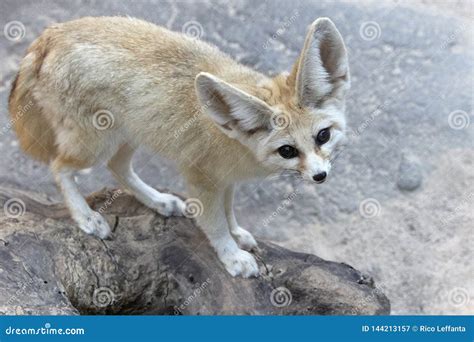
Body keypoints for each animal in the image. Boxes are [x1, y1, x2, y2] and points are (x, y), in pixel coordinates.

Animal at [7, 16, 348, 278]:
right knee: (59, 167)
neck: (233, 140)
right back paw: (86, 217)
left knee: (117, 168)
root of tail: (52, 33)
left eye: (323, 136)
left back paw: (159, 201)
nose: (320, 176)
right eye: (287, 151)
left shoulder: (225, 180)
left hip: (130, 136)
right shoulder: (202, 179)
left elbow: (229, 212)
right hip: (95, 145)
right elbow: (215, 224)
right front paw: (232, 256)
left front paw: (237, 234)